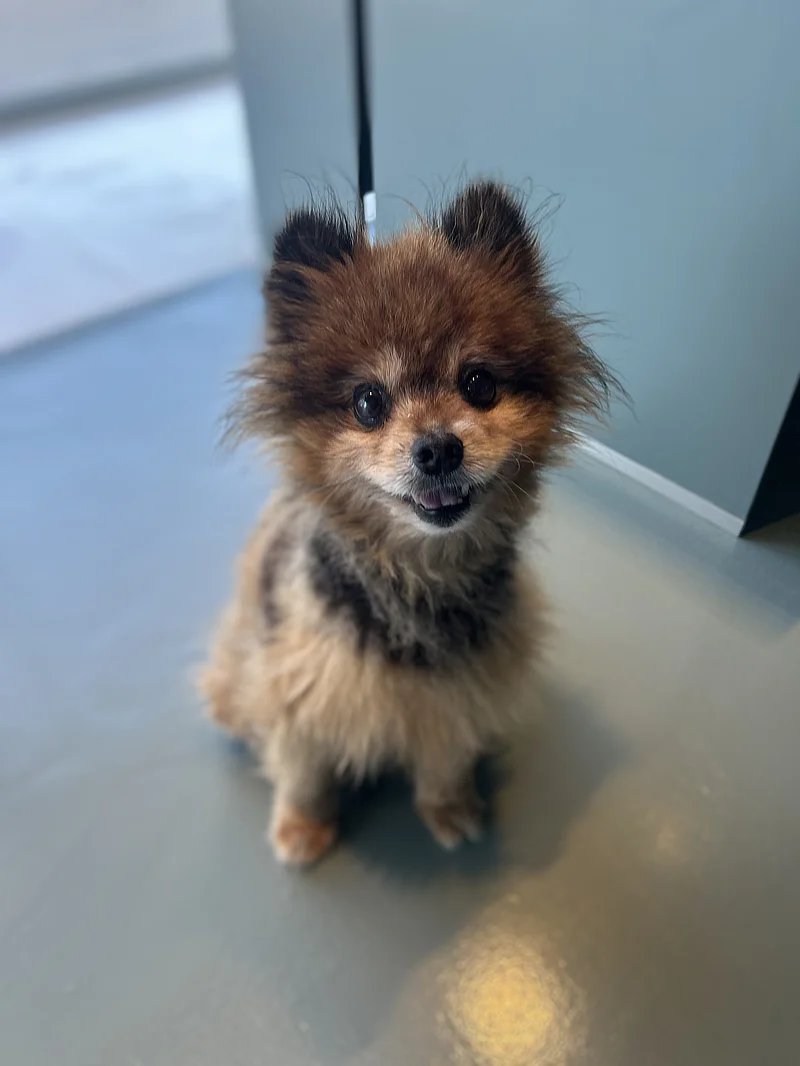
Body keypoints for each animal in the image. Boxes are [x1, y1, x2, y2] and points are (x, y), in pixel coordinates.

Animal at [199, 181, 614, 865]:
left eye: (478, 383)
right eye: (369, 402)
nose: (439, 448)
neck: (419, 580)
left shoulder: (457, 698)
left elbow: (444, 761)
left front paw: (449, 809)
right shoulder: (295, 685)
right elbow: (302, 766)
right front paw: (302, 825)